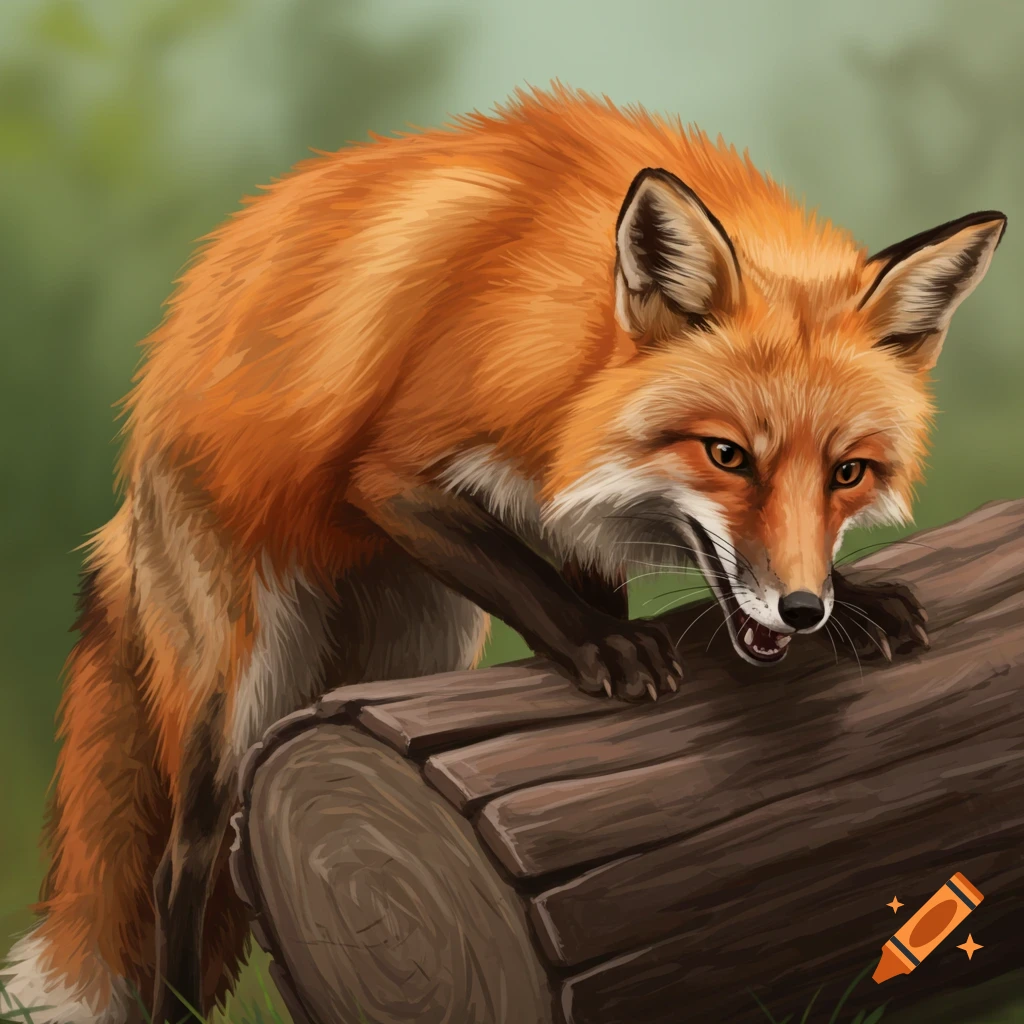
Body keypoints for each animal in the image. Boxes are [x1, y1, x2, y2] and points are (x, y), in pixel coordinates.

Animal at [0, 83, 1006, 1024]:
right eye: (726, 455)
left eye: (848, 472)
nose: (801, 611)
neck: (556, 334)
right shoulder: (394, 471)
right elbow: (523, 577)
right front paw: (606, 649)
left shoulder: (582, 527)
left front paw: (853, 599)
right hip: (240, 683)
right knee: (183, 866)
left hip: (410, 654)